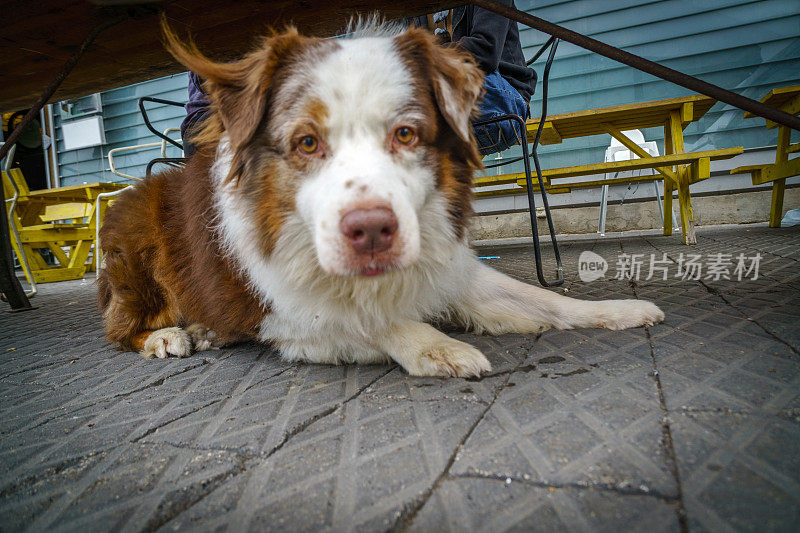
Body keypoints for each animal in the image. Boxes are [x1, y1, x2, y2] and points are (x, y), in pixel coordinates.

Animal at [97, 21, 664, 378]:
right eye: (307, 142)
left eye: (406, 134)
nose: (370, 231)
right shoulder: (287, 316)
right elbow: (369, 321)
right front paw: (438, 347)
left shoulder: (452, 267)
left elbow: (544, 299)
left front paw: (619, 309)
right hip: (137, 246)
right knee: (118, 328)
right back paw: (167, 337)